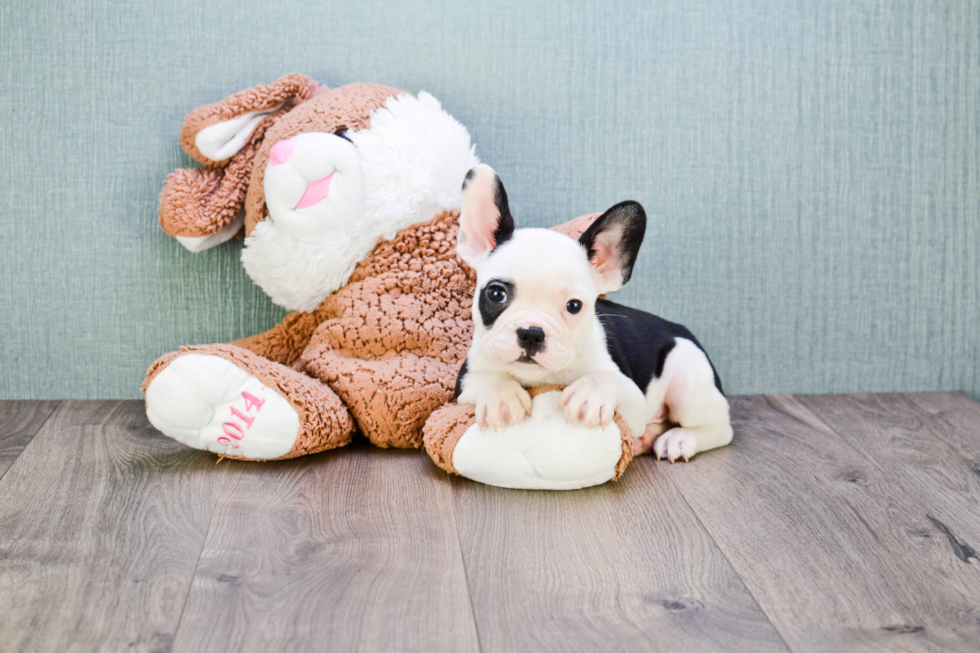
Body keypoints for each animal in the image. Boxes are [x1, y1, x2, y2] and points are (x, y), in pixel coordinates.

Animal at [452, 163, 728, 460]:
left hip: (688, 372)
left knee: (718, 428)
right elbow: (485, 378)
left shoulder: (634, 399)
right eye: (496, 293)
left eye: (574, 306)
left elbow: (609, 380)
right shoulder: (463, 380)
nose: (531, 333)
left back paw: (679, 439)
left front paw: (590, 393)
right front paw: (501, 394)